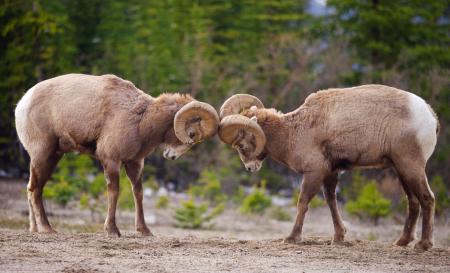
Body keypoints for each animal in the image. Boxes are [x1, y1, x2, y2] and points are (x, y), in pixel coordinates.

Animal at [16, 73, 221, 236]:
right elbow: (114, 192)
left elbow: (138, 193)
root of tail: (22, 104)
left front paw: (144, 231)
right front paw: (113, 230)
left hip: (52, 156)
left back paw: (34, 229)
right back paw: (47, 229)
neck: (142, 121)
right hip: (44, 155)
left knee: (30, 187)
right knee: (35, 189)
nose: (171, 156)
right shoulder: (111, 160)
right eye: (192, 134)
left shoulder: (135, 162)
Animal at [218, 84, 440, 249]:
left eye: (240, 145)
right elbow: (331, 202)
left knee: (427, 198)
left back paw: (424, 244)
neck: (293, 133)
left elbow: (303, 202)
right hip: (401, 170)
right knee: (413, 201)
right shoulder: (331, 173)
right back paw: (401, 242)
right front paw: (339, 237)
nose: (251, 168)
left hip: (411, 167)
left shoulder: (314, 173)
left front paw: (292, 237)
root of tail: (430, 116)